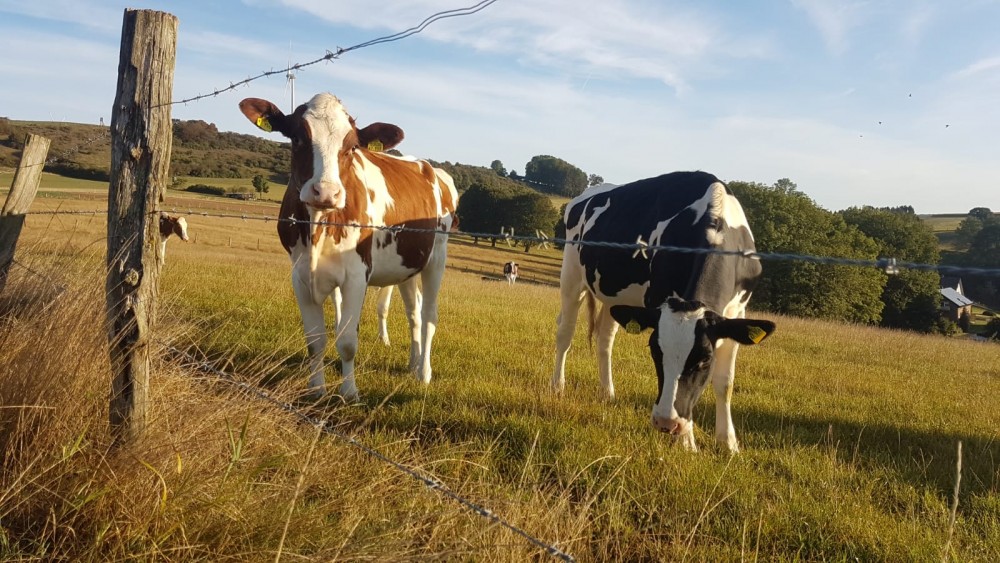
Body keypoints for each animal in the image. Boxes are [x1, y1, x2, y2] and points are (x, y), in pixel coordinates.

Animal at [240, 93, 458, 400]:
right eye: (297, 137)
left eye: (353, 146)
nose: (326, 192)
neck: (318, 228)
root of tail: (428, 166)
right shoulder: (300, 275)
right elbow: (315, 341)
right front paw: (316, 388)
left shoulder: (356, 275)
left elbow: (347, 341)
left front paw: (350, 392)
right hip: (407, 263)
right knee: (413, 313)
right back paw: (413, 363)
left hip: (436, 257)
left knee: (428, 316)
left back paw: (424, 373)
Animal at [556, 171, 772, 454]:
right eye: (655, 351)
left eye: (705, 360)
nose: (666, 423)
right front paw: (687, 443)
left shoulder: (738, 311)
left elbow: (725, 382)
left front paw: (729, 443)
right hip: (571, 276)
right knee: (565, 334)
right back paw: (557, 387)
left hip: (615, 298)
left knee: (605, 340)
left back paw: (608, 393)